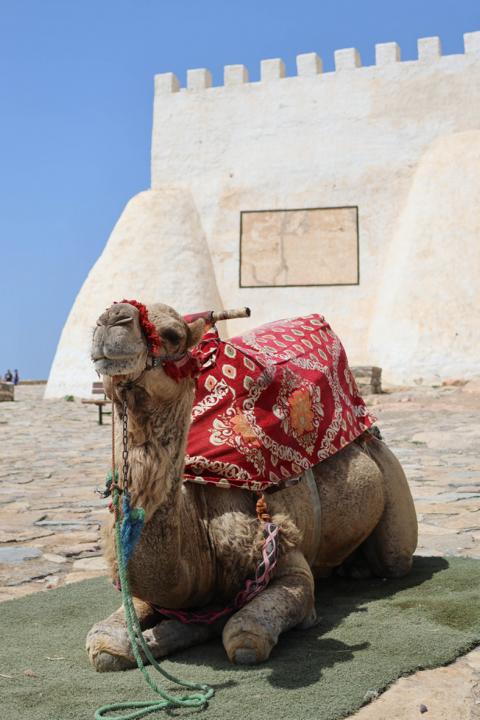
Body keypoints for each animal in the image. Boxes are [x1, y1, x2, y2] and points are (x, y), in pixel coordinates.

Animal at [86, 301, 417, 671]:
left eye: (172, 334)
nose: (112, 319)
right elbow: (105, 644)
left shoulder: (286, 561)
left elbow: (244, 635)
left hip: (390, 482)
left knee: (394, 558)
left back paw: (358, 568)